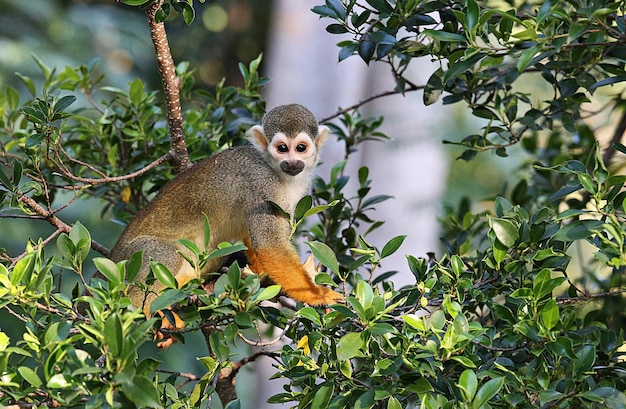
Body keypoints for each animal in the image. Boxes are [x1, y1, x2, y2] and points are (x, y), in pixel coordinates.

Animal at [107, 103, 342, 316]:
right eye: (282, 148)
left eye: (300, 148)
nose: (292, 162)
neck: (276, 171)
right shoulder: (262, 183)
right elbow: (269, 244)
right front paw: (316, 294)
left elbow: (254, 238)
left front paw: (260, 274)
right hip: (129, 261)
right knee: (164, 255)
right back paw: (142, 313)